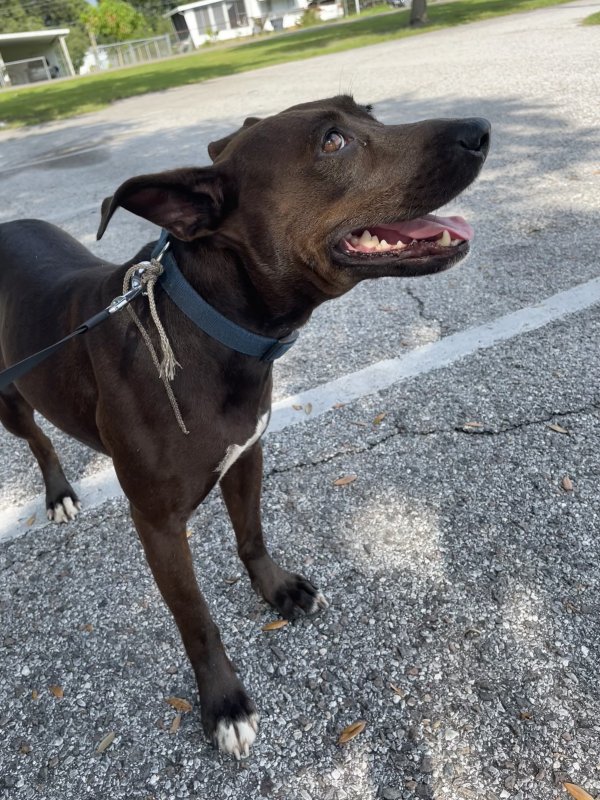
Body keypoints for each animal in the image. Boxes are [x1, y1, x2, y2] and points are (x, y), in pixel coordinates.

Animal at [0, 97, 488, 760]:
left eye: (369, 112)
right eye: (332, 142)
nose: (481, 130)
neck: (212, 326)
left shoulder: (247, 456)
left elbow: (252, 535)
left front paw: (278, 590)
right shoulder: (157, 525)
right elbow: (196, 619)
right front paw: (224, 701)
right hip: (9, 397)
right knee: (40, 436)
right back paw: (57, 494)